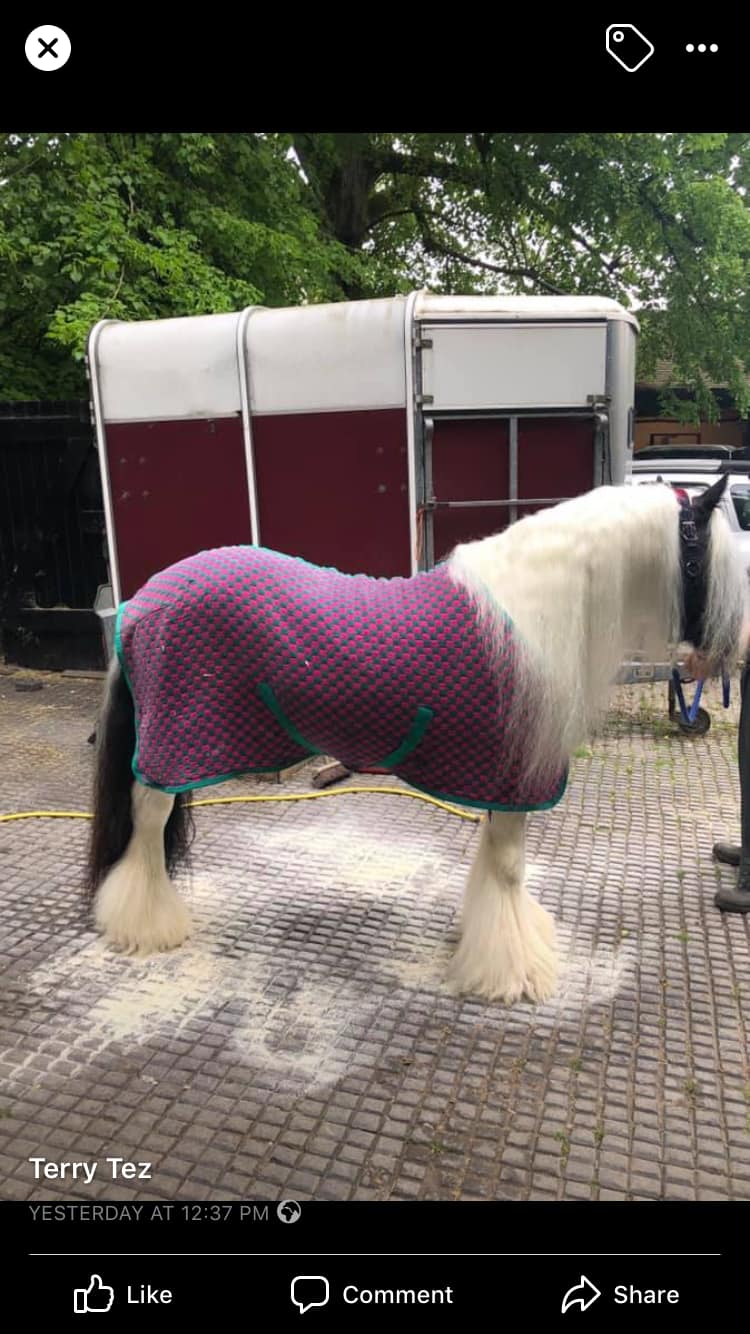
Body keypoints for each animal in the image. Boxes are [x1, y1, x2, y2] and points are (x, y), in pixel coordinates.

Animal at [86, 473, 747, 1006]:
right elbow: (509, 868)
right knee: (147, 823)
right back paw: (146, 926)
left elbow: (492, 863)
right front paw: (512, 974)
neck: (535, 609)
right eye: (706, 562)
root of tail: (142, 602)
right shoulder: (515, 778)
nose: (730, 654)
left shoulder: (497, 783)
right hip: (174, 750)